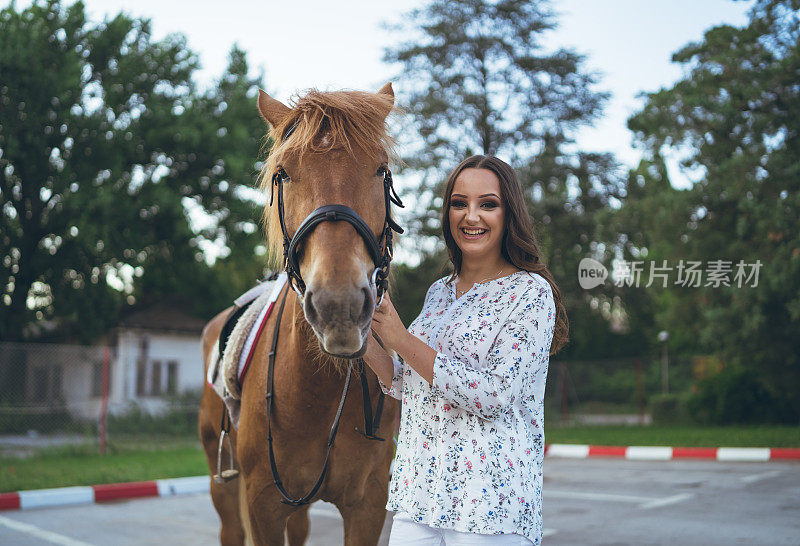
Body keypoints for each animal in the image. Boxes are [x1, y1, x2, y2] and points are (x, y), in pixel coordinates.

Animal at [198, 85, 400, 544]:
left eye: (381, 170)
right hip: (223, 483)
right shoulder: (263, 505)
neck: (320, 391)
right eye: (284, 173)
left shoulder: (368, 505)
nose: (340, 307)